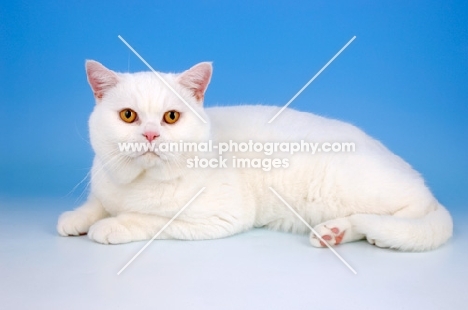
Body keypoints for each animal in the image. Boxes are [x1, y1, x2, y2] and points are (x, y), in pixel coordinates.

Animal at [56, 61, 452, 252]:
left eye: (171, 117)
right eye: (128, 116)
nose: (151, 134)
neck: (137, 183)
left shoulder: (221, 216)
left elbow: (150, 220)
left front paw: (111, 225)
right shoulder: (105, 186)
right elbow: (97, 203)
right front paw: (76, 218)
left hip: (353, 188)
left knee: (408, 213)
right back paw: (333, 234)